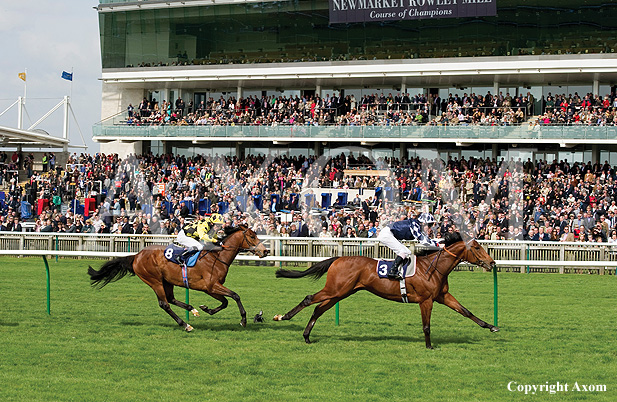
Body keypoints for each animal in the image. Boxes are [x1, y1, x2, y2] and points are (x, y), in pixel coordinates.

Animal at [86, 225, 268, 332]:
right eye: (252, 236)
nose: (265, 251)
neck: (217, 257)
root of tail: (136, 256)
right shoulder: (210, 286)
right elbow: (235, 296)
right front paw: (243, 320)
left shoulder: (210, 288)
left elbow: (225, 302)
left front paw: (206, 308)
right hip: (154, 281)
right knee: (164, 303)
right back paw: (185, 324)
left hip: (167, 281)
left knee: (171, 299)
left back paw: (192, 309)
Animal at [272, 232, 498, 348]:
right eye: (476, 248)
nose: (492, 262)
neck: (433, 268)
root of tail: (339, 258)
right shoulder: (426, 300)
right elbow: (426, 326)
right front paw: (429, 346)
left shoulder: (442, 296)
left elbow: (466, 311)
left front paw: (491, 326)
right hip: (335, 289)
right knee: (309, 298)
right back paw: (282, 317)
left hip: (341, 292)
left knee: (318, 309)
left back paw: (306, 336)